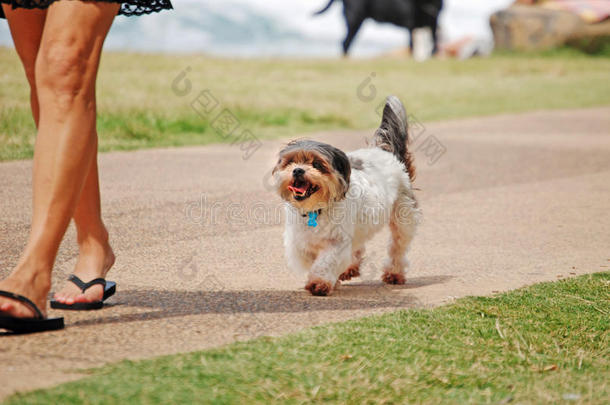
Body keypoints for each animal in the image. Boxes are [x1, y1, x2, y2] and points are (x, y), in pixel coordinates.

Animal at [270, 96, 418, 296]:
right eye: (291, 162)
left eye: (317, 164)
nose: (298, 170)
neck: (317, 209)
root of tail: (384, 151)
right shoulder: (299, 241)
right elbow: (309, 258)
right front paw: (332, 279)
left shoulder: (337, 242)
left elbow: (325, 262)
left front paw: (320, 283)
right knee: (358, 246)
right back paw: (350, 269)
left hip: (403, 218)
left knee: (397, 247)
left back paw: (394, 273)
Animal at [314, 0, 442, 56]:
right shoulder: (410, 24)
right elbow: (412, 47)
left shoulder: (433, 21)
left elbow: (435, 42)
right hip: (355, 20)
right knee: (345, 43)